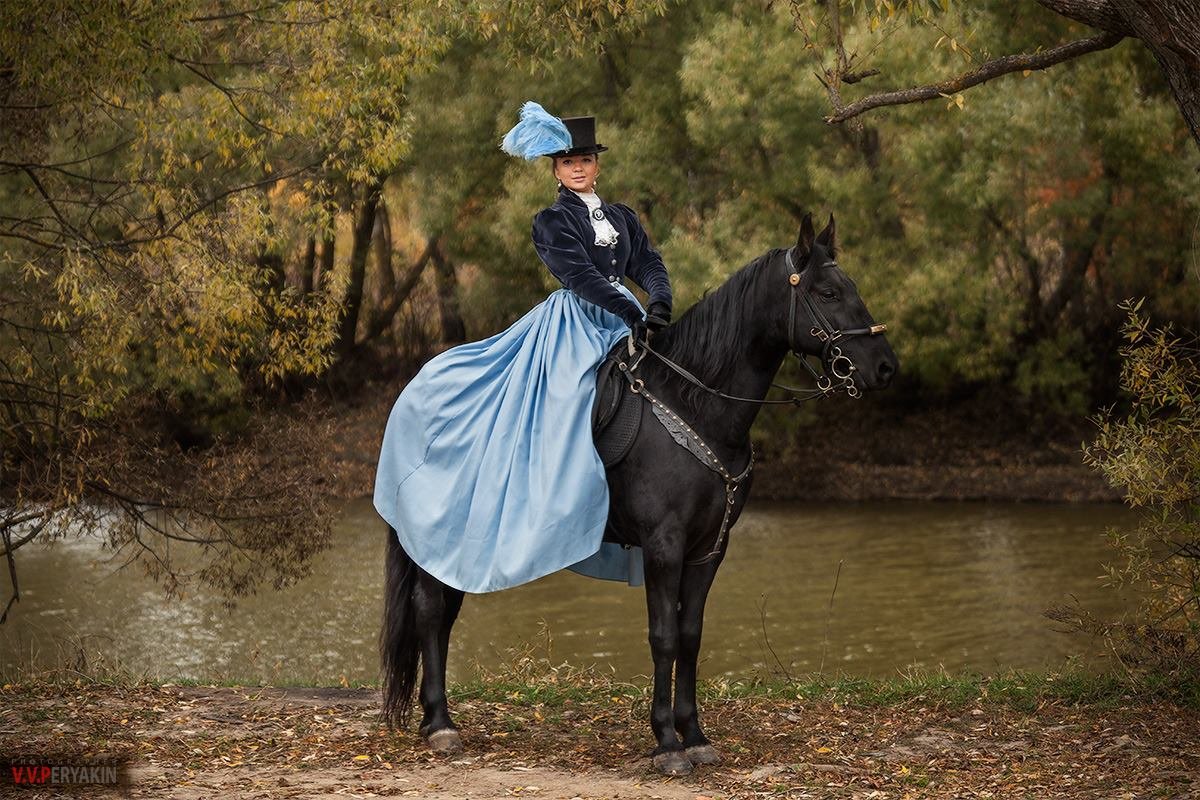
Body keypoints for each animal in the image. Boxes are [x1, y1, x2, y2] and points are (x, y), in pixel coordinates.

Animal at [379, 214, 897, 777]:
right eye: (828, 292)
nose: (885, 368)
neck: (696, 404)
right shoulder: (663, 545)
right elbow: (663, 636)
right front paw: (667, 743)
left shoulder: (709, 548)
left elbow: (690, 633)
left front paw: (695, 736)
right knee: (430, 610)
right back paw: (440, 725)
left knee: (442, 615)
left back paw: (435, 718)